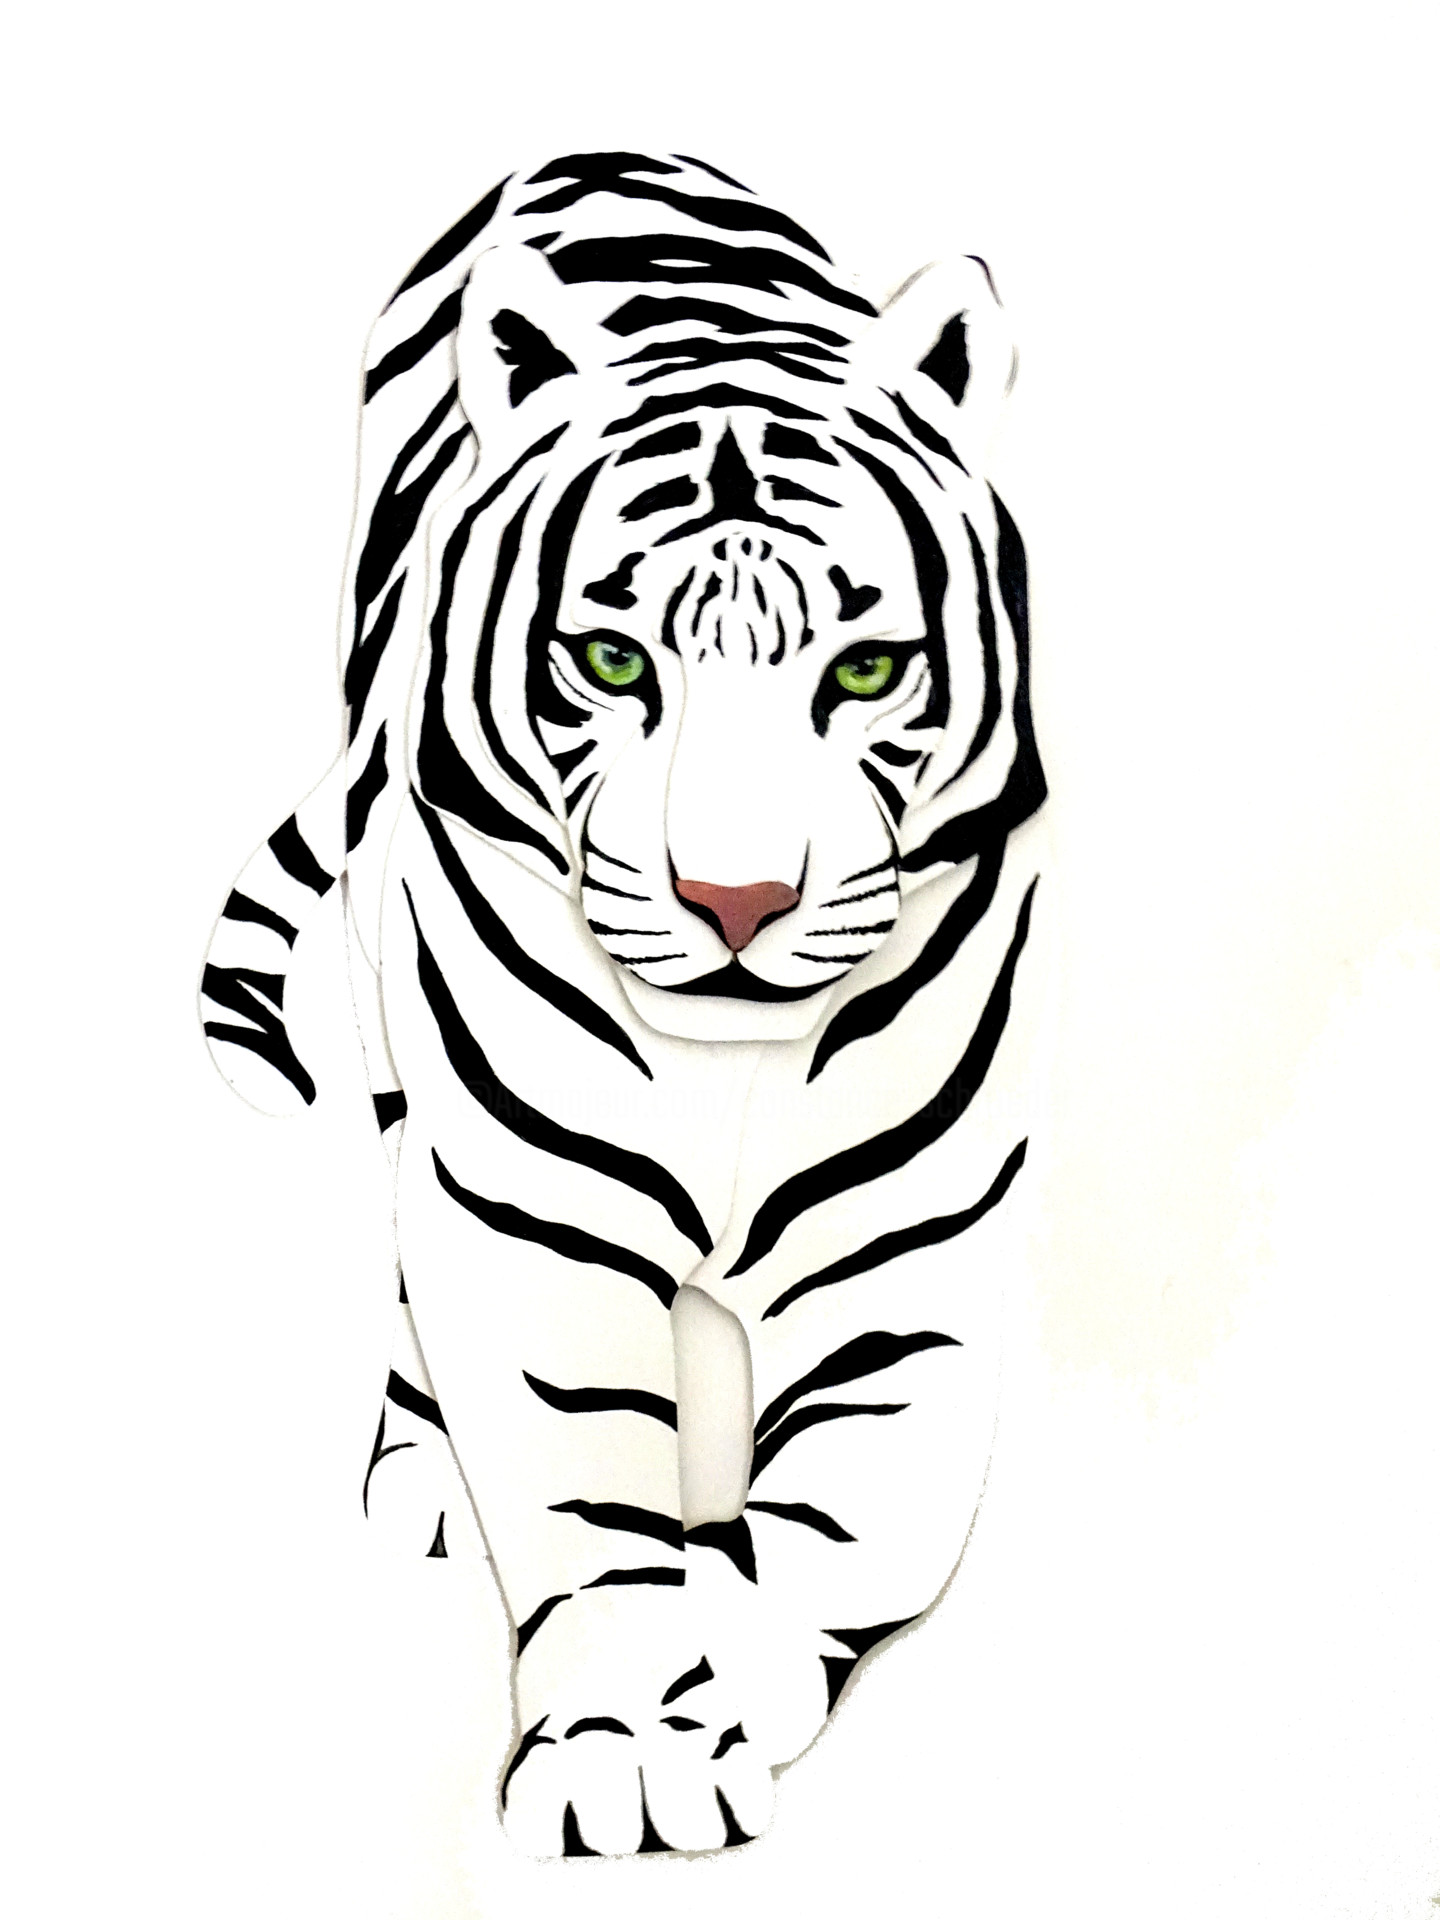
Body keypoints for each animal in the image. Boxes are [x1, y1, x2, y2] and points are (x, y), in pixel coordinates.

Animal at [200, 149, 1046, 1859]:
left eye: (863, 677)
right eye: (608, 660)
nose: (738, 904)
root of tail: (588, 145)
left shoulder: (915, 1234)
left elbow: (872, 1506)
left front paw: (740, 1663)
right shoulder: (530, 1218)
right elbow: (582, 1492)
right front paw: (620, 1747)